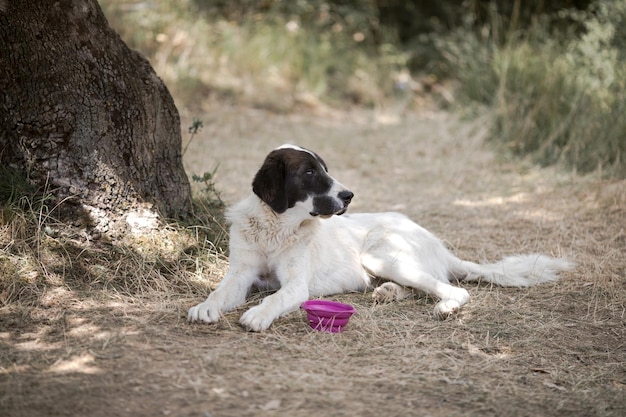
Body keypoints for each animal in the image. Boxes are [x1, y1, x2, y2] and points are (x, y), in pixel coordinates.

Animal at [186, 145, 572, 330]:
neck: (276, 227)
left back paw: (443, 306)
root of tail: (436, 243)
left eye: (325, 169)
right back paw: (388, 292)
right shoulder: (240, 275)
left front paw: (258, 316)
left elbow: (275, 298)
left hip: (381, 255)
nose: (349, 196)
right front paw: (206, 307)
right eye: (309, 172)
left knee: (454, 290)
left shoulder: (296, 286)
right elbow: (219, 291)